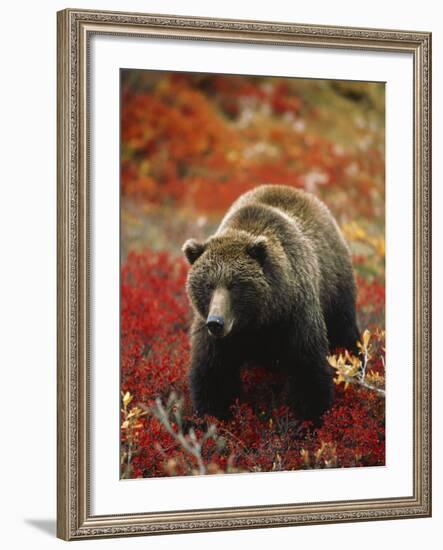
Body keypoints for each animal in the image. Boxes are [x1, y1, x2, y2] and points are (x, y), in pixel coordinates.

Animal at [182, 185, 360, 422]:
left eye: (234, 284)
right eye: (208, 284)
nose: (216, 322)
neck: (258, 321)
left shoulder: (294, 316)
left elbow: (308, 370)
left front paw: (310, 417)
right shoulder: (213, 335)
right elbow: (213, 375)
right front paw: (214, 417)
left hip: (335, 289)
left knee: (345, 333)